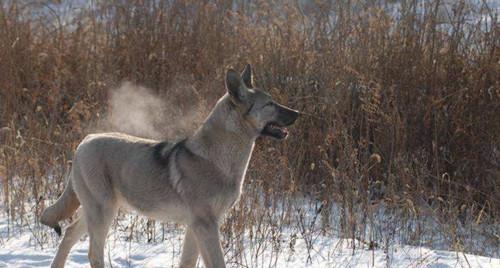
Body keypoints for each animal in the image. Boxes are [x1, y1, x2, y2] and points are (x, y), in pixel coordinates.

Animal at [41, 63, 298, 266]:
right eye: (269, 104)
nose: (298, 112)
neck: (218, 159)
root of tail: (85, 141)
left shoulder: (195, 228)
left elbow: (187, 263)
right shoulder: (206, 226)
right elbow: (217, 263)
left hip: (98, 211)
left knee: (69, 235)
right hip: (102, 212)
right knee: (93, 255)